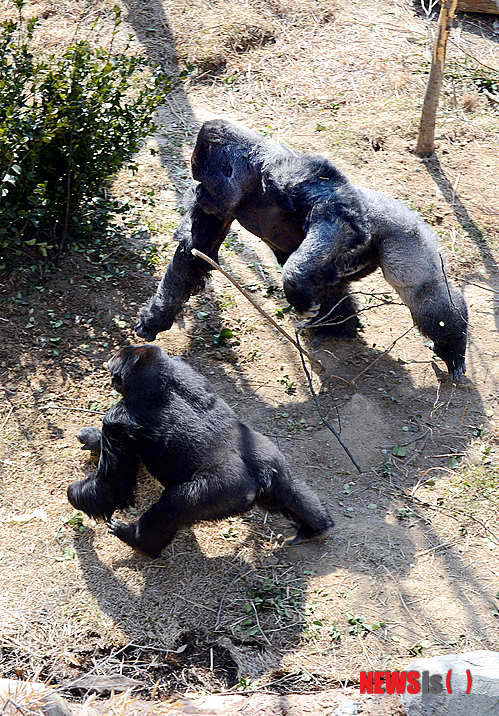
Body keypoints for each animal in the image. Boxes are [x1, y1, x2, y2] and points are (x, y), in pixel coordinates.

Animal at [65, 344, 332, 556]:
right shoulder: (185, 368)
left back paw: (139, 542)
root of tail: (260, 479)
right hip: (271, 460)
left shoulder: (118, 419)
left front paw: (74, 493)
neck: (158, 380)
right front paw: (93, 439)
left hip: (226, 491)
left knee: (174, 505)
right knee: (291, 488)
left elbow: (114, 486)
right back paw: (316, 527)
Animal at [136, 120, 468, 384]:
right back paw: (339, 328)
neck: (254, 181)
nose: (198, 193)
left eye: (202, 179)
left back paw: (452, 345)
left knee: (422, 290)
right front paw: (156, 316)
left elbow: (330, 215)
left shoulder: (289, 174)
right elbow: (195, 250)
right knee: (330, 286)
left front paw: (293, 284)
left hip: (407, 231)